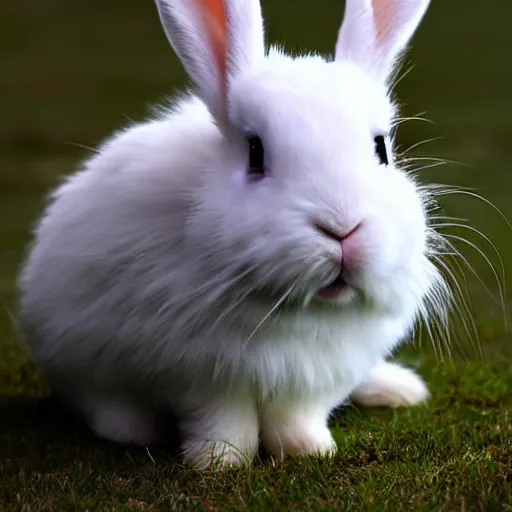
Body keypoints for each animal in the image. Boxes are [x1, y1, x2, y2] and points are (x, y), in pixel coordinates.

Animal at [18, 0, 446, 468]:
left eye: (381, 149)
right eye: (255, 153)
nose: (341, 228)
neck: (298, 310)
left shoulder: (316, 378)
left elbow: (298, 418)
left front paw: (310, 450)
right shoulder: (200, 374)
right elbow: (222, 419)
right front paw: (219, 461)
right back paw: (131, 428)